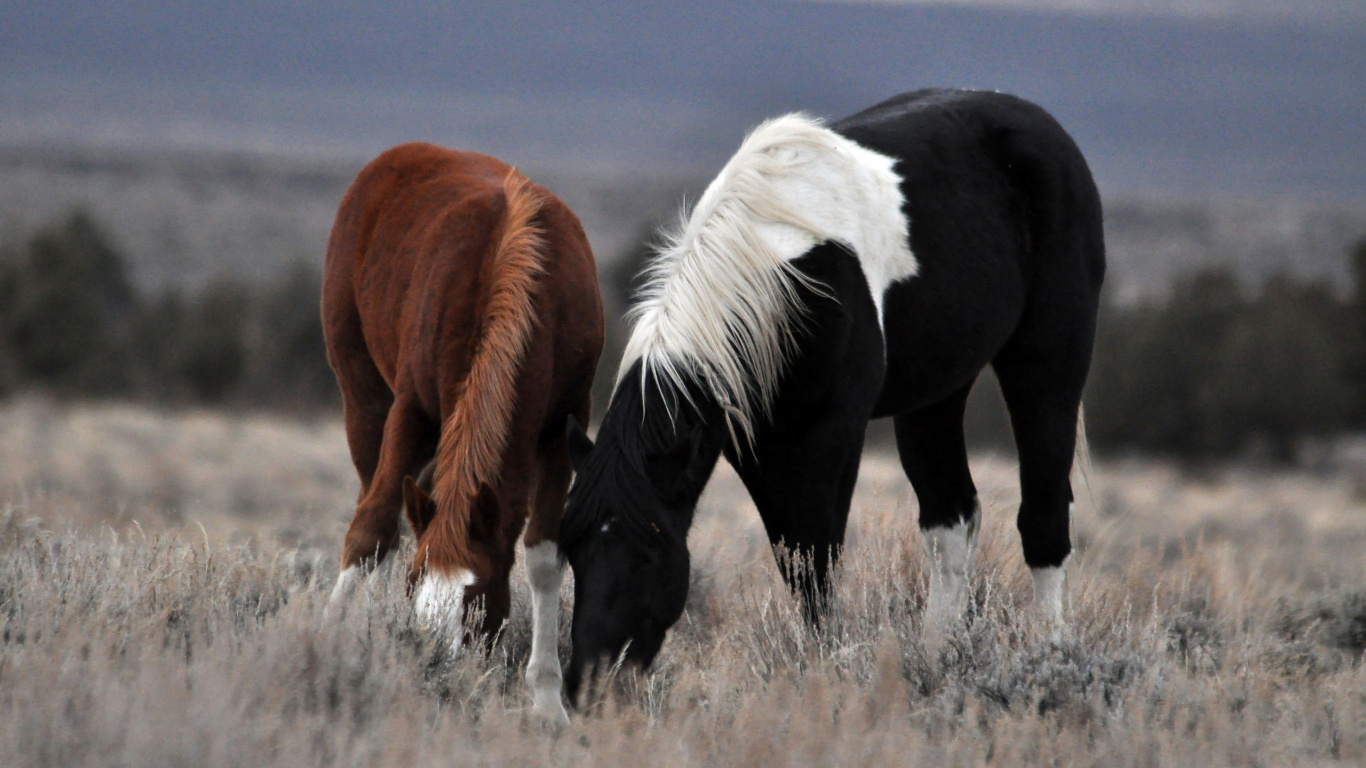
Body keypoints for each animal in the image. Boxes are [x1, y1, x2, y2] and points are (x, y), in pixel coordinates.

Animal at [322, 140, 601, 721]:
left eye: (477, 599)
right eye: (415, 587)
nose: (436, 672)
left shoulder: (563, 425)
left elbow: (543, 555)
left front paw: (547, 698)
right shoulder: (411, 410)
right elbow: (370, 529)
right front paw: (326, 641)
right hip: (363, 399)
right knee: (374, 504)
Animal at [560, 89, 1103, 699]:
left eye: (650, 549)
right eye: (571, 549)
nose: (586, 685)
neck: (781, 275)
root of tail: (1039, 123)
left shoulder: (831, 435)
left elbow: (816, 559)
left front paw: (822, 671)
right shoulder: (759, 445)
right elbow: (795, 561)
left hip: (1048, 362)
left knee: (1044, 519)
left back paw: (1051, 661)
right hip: (936, 395)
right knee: (952, 520)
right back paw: (935, 659)